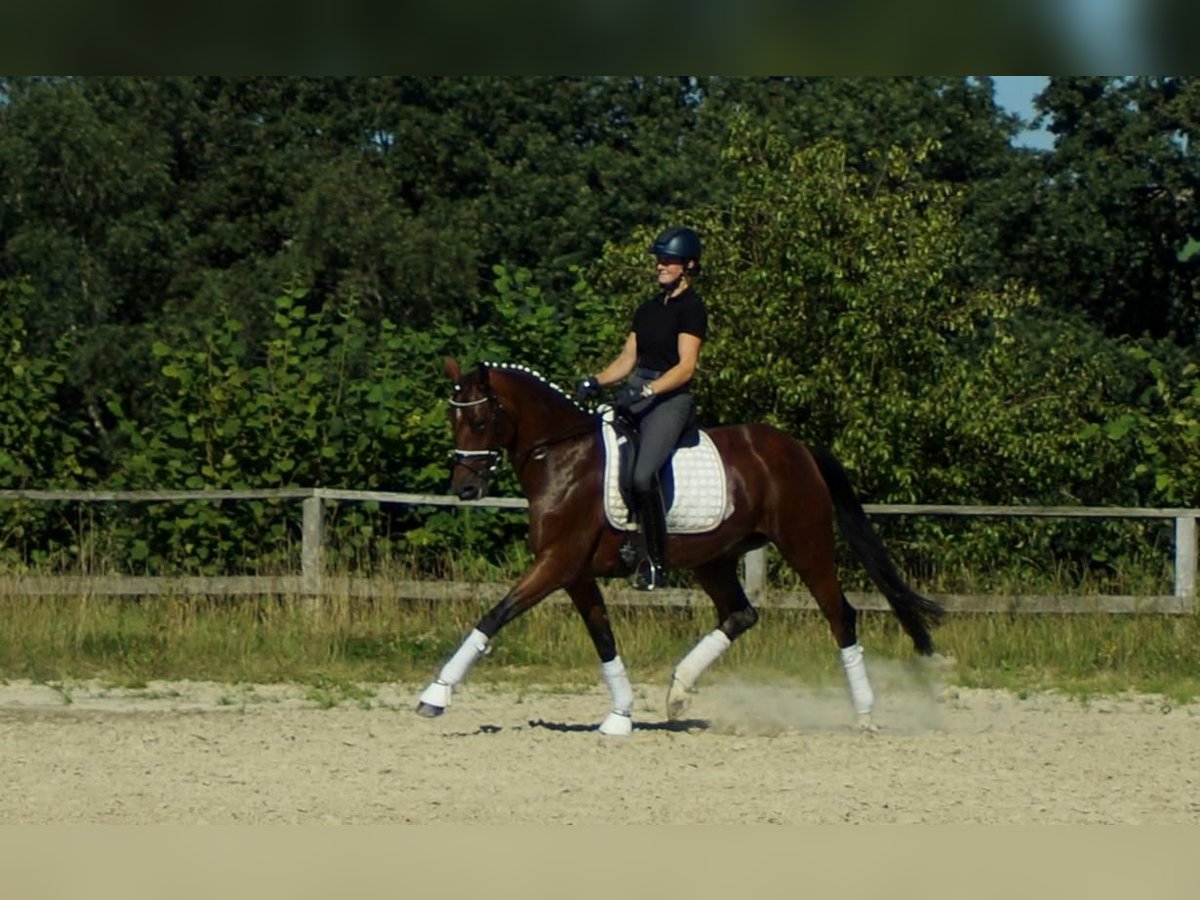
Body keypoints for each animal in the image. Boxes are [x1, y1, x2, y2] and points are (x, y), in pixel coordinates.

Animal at [417, 355, 940, 734]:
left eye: (479, 422)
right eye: (451, 420)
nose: (465, 488)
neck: (563, 456)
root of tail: (797, 448)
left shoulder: (557, 563)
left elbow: (495, 615)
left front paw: (435, 696)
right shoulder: (576, 573)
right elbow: (603, 638)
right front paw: (620, 715)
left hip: (805, 545)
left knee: (840, 615)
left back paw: (865, 716)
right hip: (715, 558)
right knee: (740, 615)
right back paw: (678, 693)